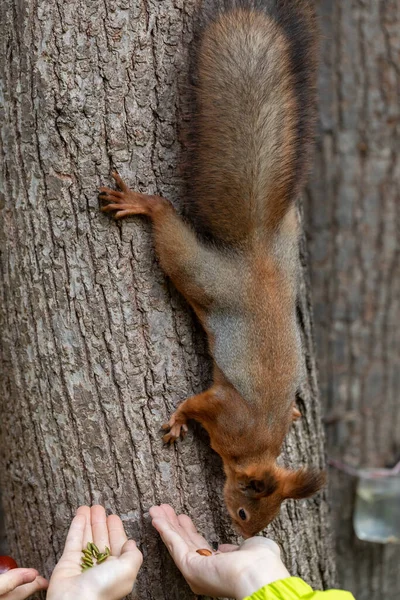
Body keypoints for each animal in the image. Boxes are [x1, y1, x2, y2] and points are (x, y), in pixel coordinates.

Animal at [99, 0, 324, 536]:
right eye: (244, 512)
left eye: (260, 522)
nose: (240, 537)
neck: (256, 446)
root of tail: (255, 246)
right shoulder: (224, 410)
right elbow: (195, 403)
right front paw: (179, 421)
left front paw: (295, 415)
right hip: (199, 273)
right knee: (167, 226)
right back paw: (143, 204)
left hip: (286, 246)